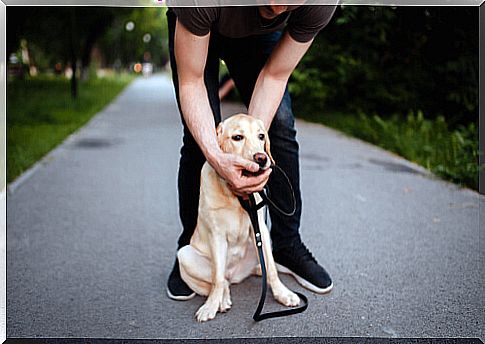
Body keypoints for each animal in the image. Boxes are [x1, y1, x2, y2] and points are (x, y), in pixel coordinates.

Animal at [178, 114, 298, 322]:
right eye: (237, 137)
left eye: (261, 136)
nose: (261, 158)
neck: (237, 197)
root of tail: (235, 275)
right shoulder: (217, 235)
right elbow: (217, 279)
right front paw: (211, 305)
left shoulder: (260, 230)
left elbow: (271, 268)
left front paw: (283, 293)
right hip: (184, 254)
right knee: (221, 280)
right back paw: (222, 300)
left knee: (255, 269)